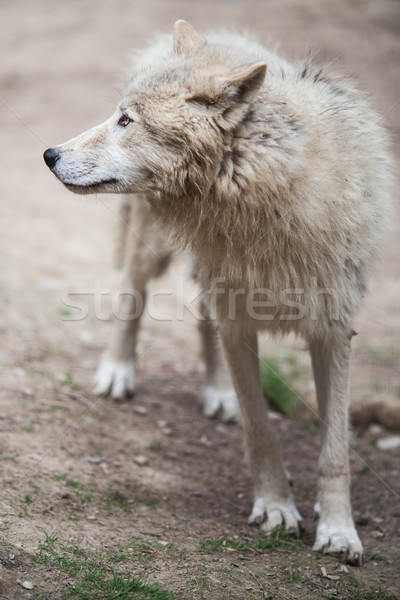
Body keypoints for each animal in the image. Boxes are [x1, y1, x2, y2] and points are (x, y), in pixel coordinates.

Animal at [43, 18, 394, 564]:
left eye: (126, 121)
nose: (50, 153)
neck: (262, 206)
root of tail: (214, 30)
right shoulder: (239, 323)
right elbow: (260, 430)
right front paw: (276, 508)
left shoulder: (333, 330)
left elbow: (335, 449)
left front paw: (339, 531)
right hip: (153, 249)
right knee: (131, 294)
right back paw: (118, 371)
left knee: (202, 320)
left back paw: (217, 390)